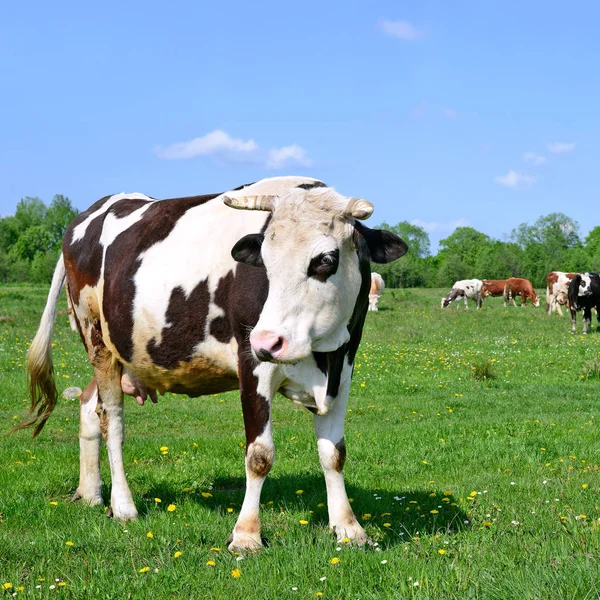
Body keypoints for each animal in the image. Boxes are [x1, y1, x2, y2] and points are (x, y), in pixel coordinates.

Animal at [16, 176, 408, 552]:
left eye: (326, 259)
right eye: (264, 261)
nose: (268, 341)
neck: (322, 355)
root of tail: (89, 214)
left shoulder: (344, 366)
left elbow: (334, 453)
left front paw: (349, 529)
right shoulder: (253, 364)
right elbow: (259, 455)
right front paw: (247, 535)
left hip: (122, 352)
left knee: (87, 404)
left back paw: (90, 494)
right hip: (97, 338)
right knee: (111, 418)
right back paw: (123, 505)